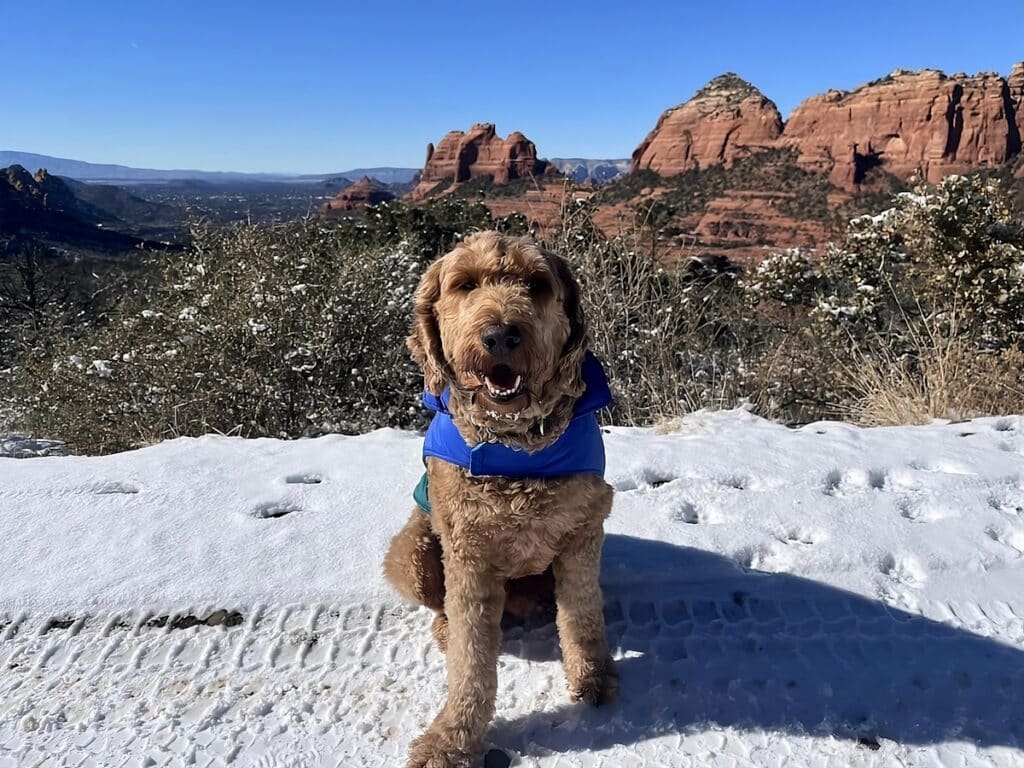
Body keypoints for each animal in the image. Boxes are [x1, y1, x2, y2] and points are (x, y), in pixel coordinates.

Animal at [385, 230, 614, 768]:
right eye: (464, 284)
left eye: (537, 284)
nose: (501, 336)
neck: (515, 449)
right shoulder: (469, 553)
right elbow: (471, 662)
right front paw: (452, 741)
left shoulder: (584, 531)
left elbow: (582, 614)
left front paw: (593, 677)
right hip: (412, 553)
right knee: (441, 607)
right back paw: (445, 628)